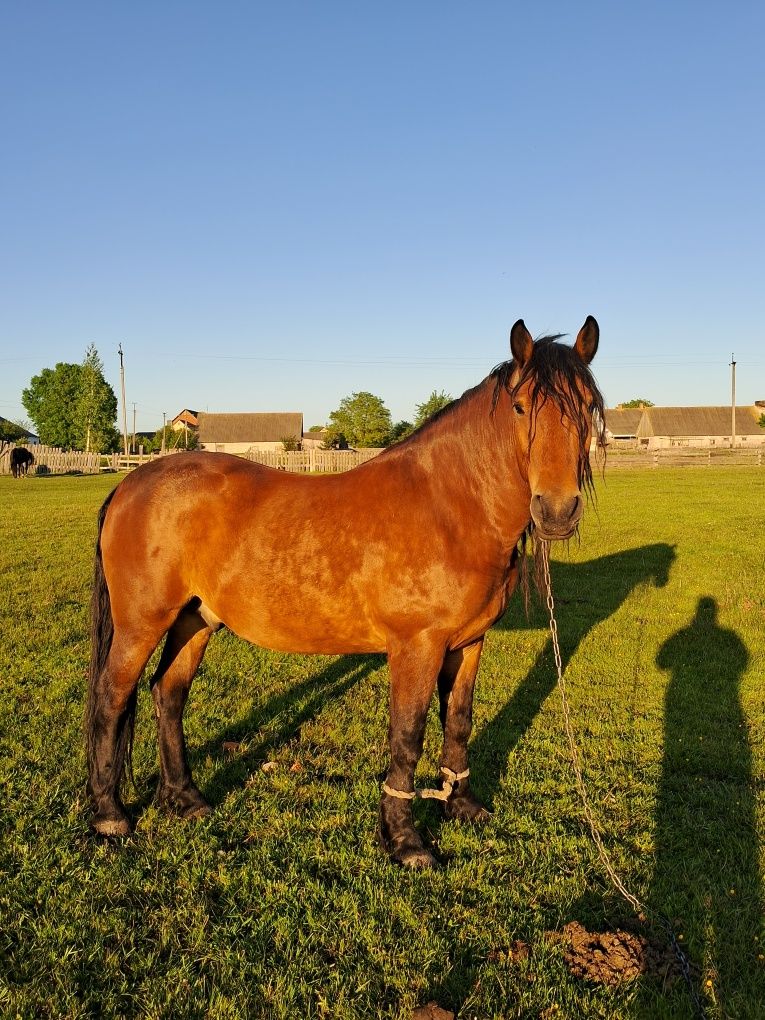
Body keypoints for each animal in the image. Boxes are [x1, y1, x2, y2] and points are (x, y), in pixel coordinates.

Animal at [86, 314, 607, 864]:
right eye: (520, 406)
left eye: (588, 408)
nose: (556, 511)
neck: (448, 506)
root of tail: (129, 485)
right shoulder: (416, 647)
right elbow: (407, 736)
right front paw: (404, 840)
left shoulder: (468, 643)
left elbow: (459, 722)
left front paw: (461, 806)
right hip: (141, 624)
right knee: (111, 697)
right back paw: (109, 815)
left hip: (195, 619)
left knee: (168, 693)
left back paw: (185, 799)